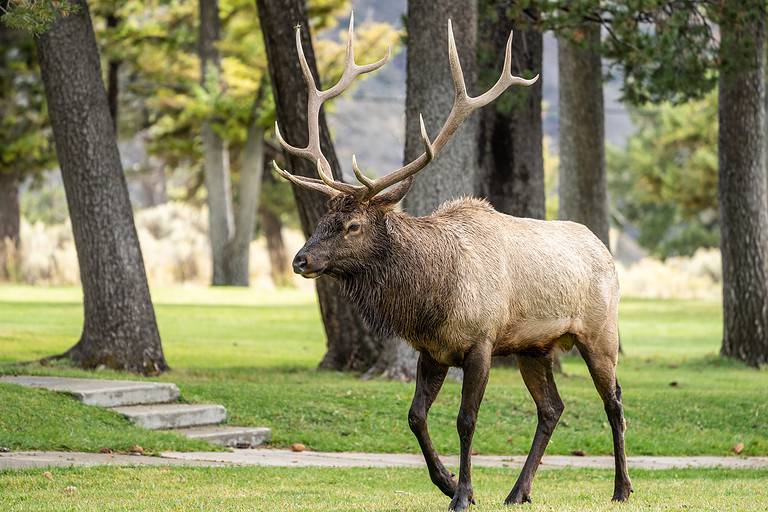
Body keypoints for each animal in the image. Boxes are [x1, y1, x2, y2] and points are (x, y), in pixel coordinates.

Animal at [272, 13, 632, 511]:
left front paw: (462, 494)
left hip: (600, 331)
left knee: (614, 402)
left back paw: (621, 488)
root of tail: (605, 251)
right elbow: (415, 416)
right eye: (325, 218)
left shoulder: (481, 342)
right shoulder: (432, 350)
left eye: (353, 226)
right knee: (551, 408)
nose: (301, 260)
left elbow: (466, 420)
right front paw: (446, 482)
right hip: (533, 348)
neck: (432, 297)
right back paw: (518, 491)